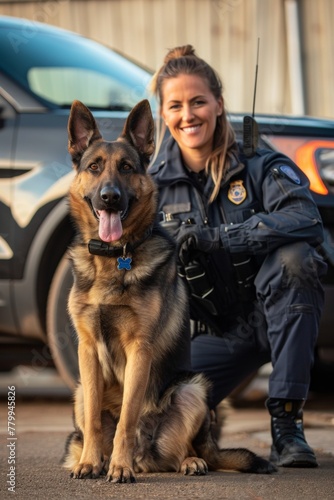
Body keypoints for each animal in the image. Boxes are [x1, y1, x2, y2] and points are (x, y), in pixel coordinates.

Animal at [63, 99, 276, 482]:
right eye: (94, 167)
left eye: (127, 167)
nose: (110, 197)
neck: (114, 258)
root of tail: (145, 457)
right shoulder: (87, 351)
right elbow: (96, 421)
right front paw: (89, 462)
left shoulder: (140, 349)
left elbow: (127, 417)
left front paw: (119, 467)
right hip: (79, 391)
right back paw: (99, 459)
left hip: (193, 389)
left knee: (176, 452)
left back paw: (182, 461)